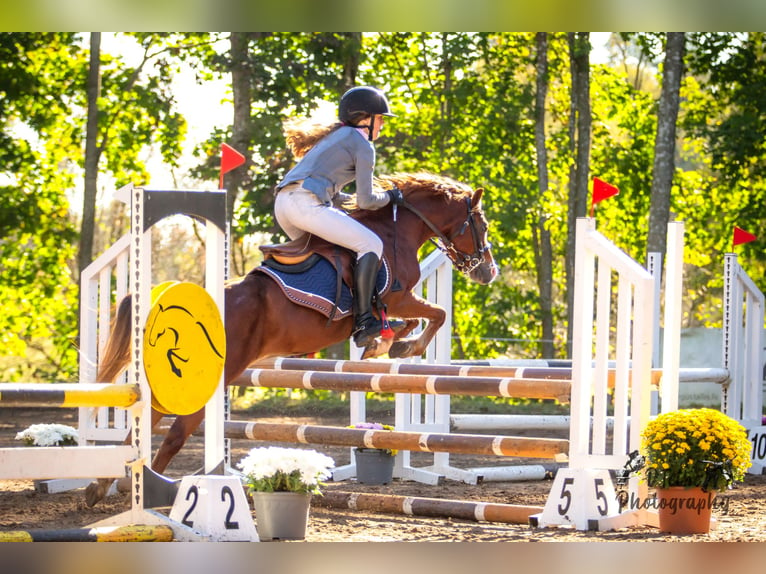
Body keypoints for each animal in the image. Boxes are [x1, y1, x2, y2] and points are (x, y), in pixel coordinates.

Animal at [87, 172, 500, 508]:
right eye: (480, 223)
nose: (488, 272)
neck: (395, 232)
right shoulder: (398, 294)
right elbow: (436, 314)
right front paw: (400, 344)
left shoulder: (397, 301)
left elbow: (415, 319)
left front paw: (387, 341)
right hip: (217, 373)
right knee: (173, 432)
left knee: (146, 422)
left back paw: (103, 485)